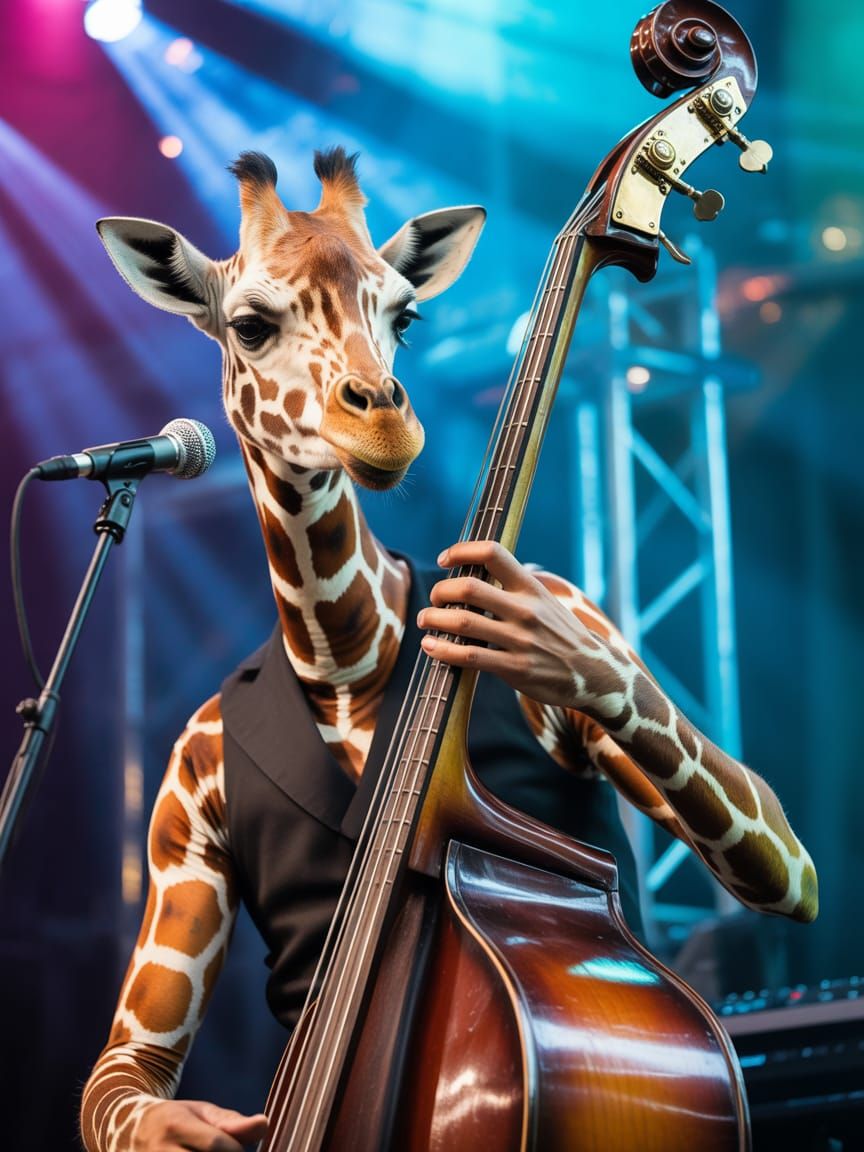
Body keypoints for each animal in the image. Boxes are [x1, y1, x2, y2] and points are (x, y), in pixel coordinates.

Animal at [80, 149, 817, 1152]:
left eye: (407, 315)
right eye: (249, 324)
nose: (383, 421)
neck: (344, 655)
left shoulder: (579, 609)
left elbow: (781, 856)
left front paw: (544, 645)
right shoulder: (176, 805)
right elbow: (131, 1061)